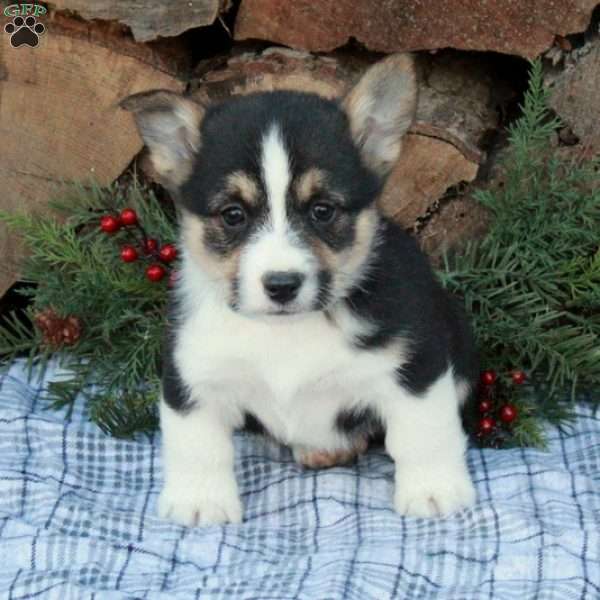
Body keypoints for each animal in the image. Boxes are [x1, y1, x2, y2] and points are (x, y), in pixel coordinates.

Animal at [122, 54, 478, 528]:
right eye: (233, 214)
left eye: (322, 210)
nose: (281, 285)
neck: (286, 331)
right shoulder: (191, 375)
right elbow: (196, 446)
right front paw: (199, 502)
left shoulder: (416, 366)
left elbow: (424, 434)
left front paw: (434, 491)